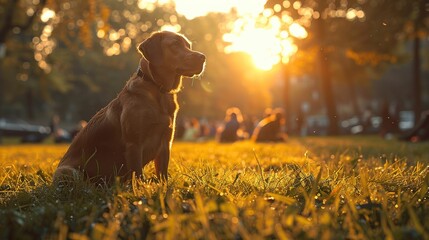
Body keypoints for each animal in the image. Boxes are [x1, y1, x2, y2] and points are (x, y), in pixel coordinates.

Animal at [52, 31, 206, 184]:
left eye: (188, 46)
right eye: (174, 45)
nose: (203, 57)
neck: (158, 89)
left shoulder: (166, 143)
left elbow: (162, 174)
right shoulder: (134, 144)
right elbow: (137, 175)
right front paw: (140, 188)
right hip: (69, 172)